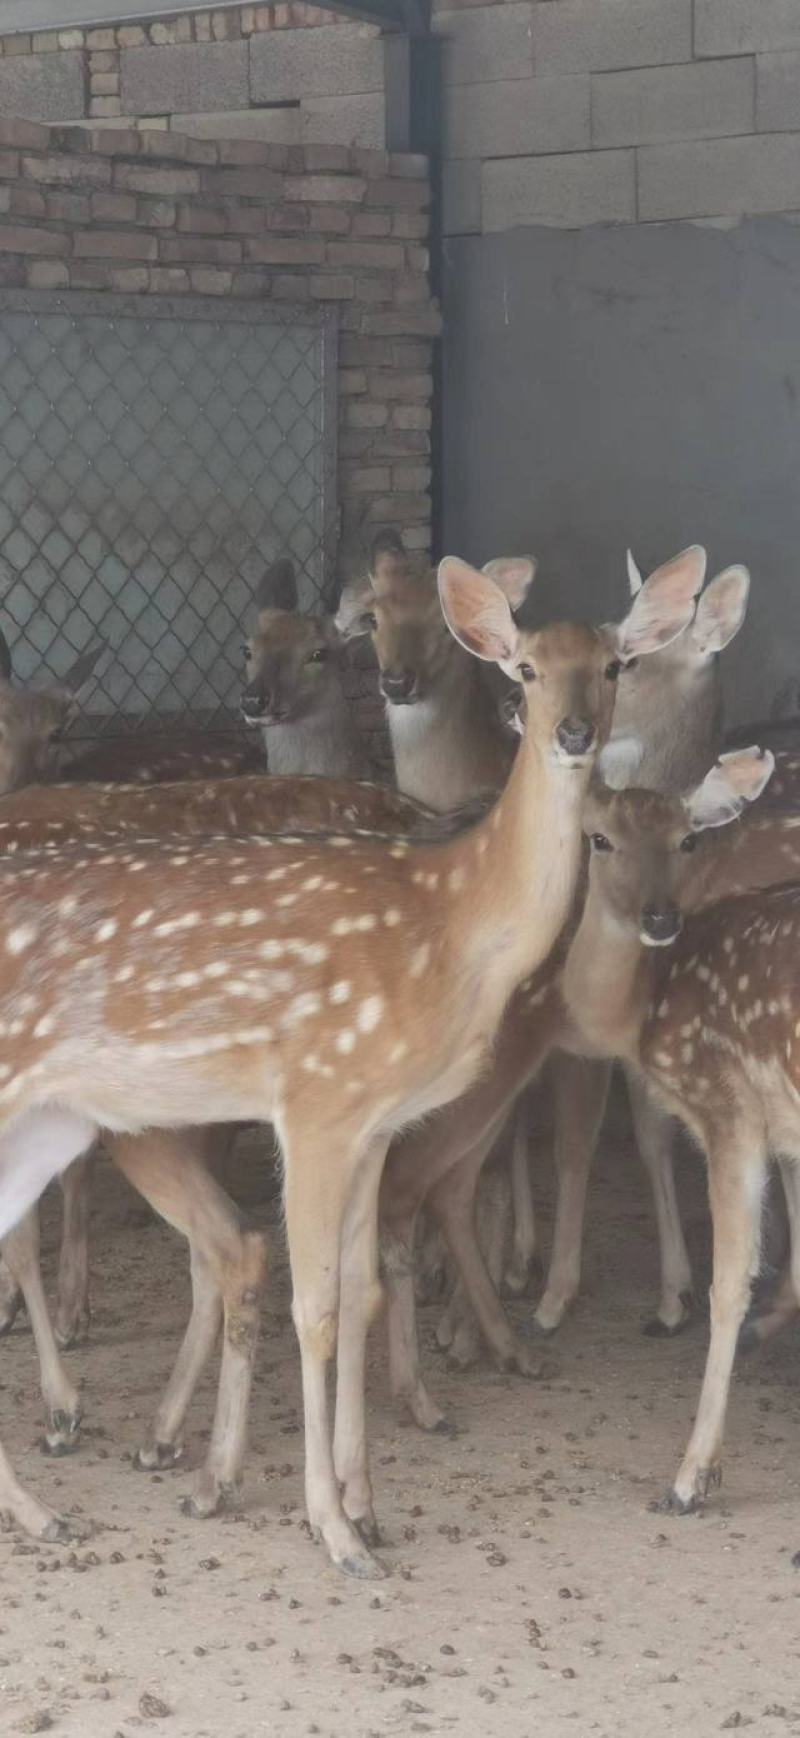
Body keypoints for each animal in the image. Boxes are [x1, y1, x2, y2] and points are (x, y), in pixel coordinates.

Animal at [0, 551, 699, 1572]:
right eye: (525, 667)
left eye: (613, 666)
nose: (573, 732)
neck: (449, 925)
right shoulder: (316, 1099)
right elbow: (316, 1306)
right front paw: (333, 1530)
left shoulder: (374, 1122)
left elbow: (361, 1291)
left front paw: (365, 1506)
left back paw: (50, 1504)